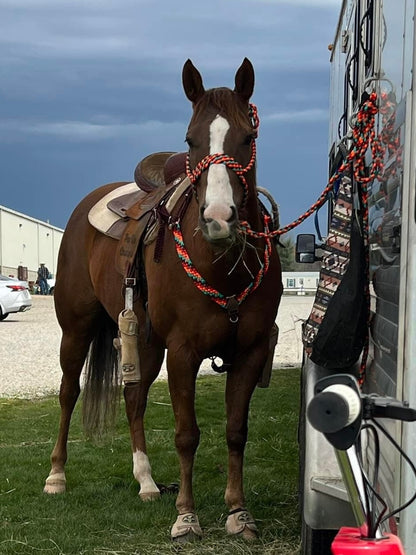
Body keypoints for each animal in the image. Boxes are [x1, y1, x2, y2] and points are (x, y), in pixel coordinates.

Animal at [44, 58, 282, 540]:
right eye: (191, 140)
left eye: (248, 137)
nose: (218, 219)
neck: (222, 266)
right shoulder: (183, 353)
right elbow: (186, 434)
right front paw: (187, 517)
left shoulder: (249, 352)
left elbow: (235, 431)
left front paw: (238, 513)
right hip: (77, 330)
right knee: (67, 392)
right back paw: (57, 476)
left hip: (146, 342)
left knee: (133, 400)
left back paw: (147, 482)